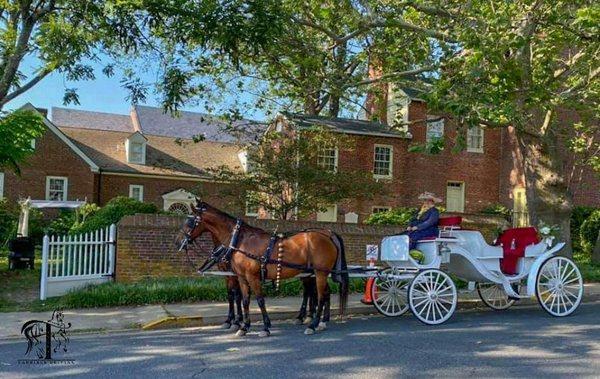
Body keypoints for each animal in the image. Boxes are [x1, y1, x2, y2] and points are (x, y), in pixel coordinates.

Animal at [177, 203, 346, 336]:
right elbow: (244, 300)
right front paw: (243, 326)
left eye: (190, 222)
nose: (178, 242)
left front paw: (264, 327)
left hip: (320, 272)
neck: (239, 241)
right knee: (319, 293)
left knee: (321, 295)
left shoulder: (252, 276)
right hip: (312, 273)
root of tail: (328, 235)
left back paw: (313, 324)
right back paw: (319, 321)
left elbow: (258, 299)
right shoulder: (240, 277)